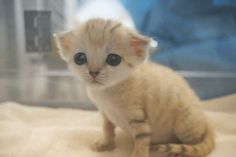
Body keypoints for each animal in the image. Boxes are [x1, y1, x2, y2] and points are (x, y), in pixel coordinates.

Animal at [54, 18, 216, 157]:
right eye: (80, 58)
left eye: (113, 59)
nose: (93, 72)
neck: (107, 91)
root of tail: (206, 120)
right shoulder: (106, 114)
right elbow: (107, 129)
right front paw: (106, 145)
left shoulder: (139, 120)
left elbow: (142, 142)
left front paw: (137, 154)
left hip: (184, 125)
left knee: (193, 143)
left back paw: (181, 152)